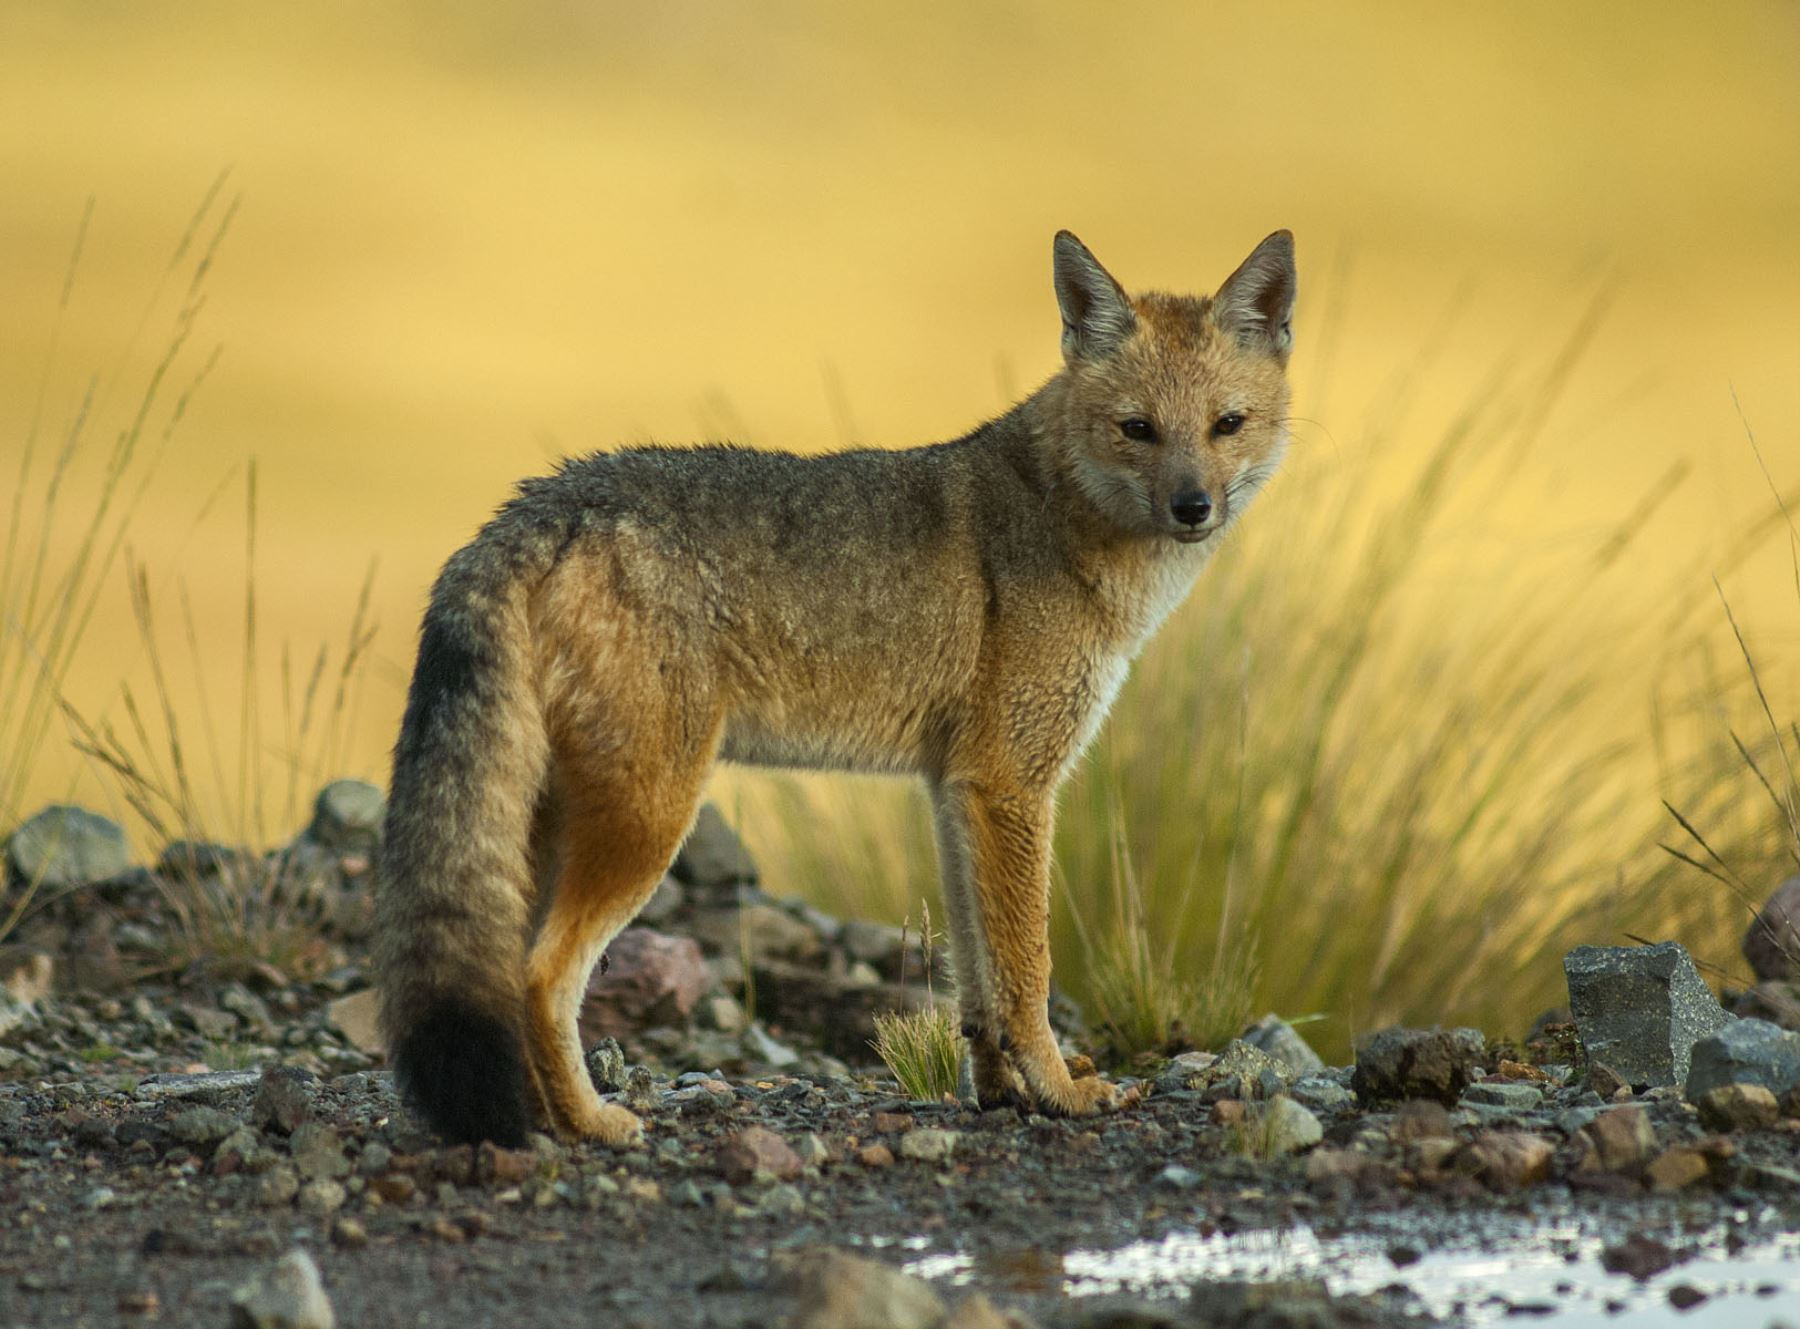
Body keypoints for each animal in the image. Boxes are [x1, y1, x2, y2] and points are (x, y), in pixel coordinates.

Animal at [374, 229, 1297, 1148]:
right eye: (1138, 429)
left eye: (1226, 425)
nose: (1193, 506)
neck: (1060, 515)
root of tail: (533, 506)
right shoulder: (1012, 784)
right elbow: (1027, 967)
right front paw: (1062, 1092)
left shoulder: (956, 789)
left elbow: (976, 976)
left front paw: (1003, 1089)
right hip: (647, 820)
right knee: (541, 974)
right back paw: (589, 1123)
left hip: (552, 819)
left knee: (504, 967)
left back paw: (538, 1117)